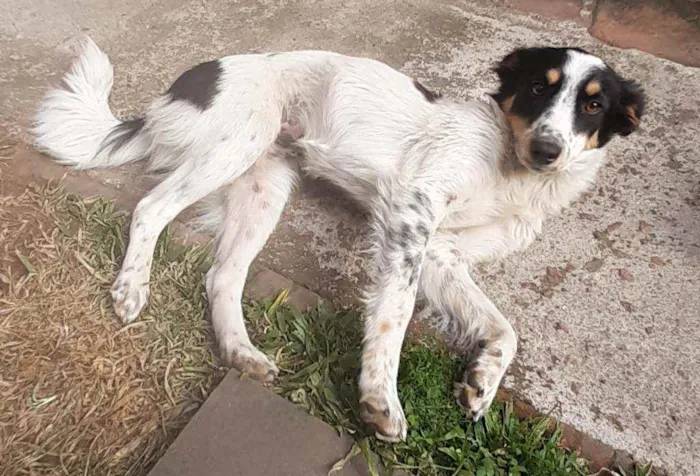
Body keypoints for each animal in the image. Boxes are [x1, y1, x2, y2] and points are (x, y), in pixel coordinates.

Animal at [34, 39, 644, 440]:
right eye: (539, 88)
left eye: (593, 104)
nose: (547, 150)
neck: (510, 168)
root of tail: (188, 82)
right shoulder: (411, 208)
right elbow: (394, 314)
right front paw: (379, 397)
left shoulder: (442, 253)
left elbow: (506, 330)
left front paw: (482, 384)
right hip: (236, 143)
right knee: (150, 208)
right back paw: (130, 288)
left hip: (264, 184)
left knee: (221, 276)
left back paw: (242, 353)